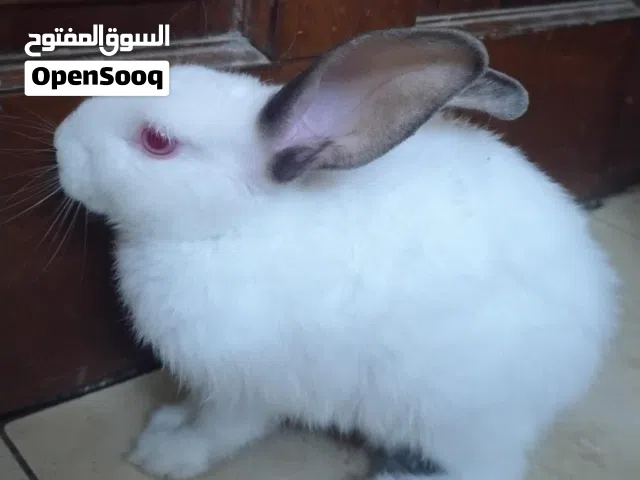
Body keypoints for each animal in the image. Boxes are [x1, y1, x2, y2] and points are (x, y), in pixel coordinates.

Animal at [53, 28, 620, 480]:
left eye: (157, 141)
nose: (60, 142)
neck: (232, 228)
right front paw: (170, 422)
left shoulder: (246, 387)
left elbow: (222, 430)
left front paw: (165, 455)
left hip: (462, 418)